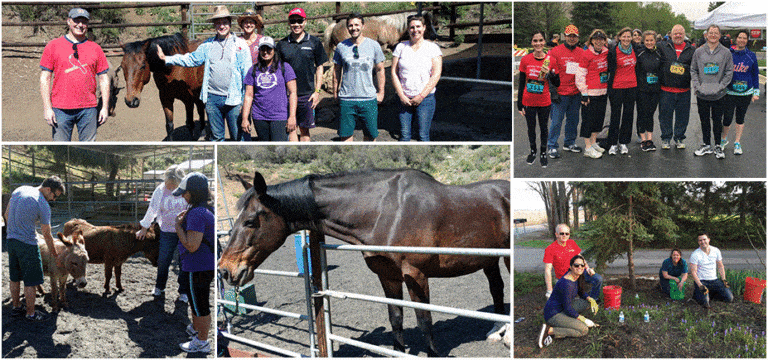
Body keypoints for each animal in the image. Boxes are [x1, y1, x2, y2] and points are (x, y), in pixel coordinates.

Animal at [216, 169, 510, 358]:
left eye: (250, 221)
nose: (225, 270)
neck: (387, 210)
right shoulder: (388, 276)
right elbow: (396, 317)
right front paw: (398, 351)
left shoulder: (416, 275)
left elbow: (424, 320)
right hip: (489, 258)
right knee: (496, 289)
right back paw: (496, 330)